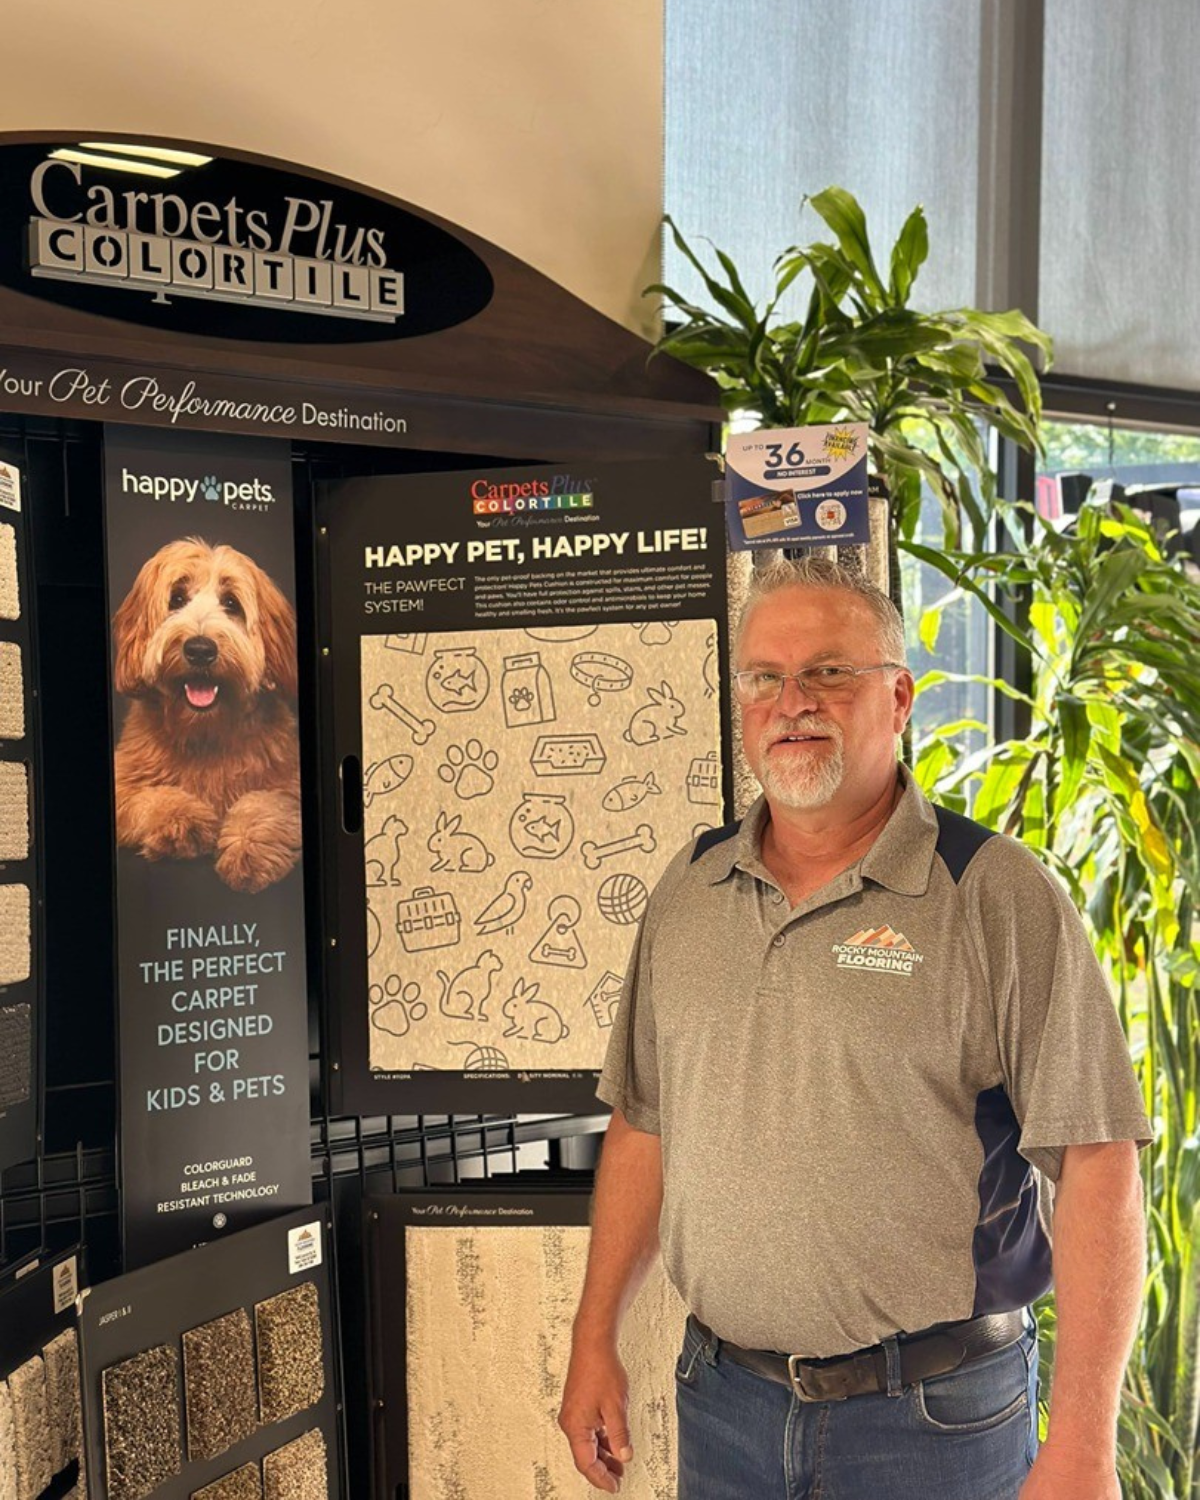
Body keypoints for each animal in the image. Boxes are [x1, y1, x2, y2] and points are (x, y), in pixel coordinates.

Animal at [113, 540, 303, 888]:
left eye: (231, 603)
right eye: (176, 599)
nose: (200, 649)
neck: (205, 733)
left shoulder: (288, 784)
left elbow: (262, 803)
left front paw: (248, 848)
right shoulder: (124, 781)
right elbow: (153, 797)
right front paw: (184, 822)